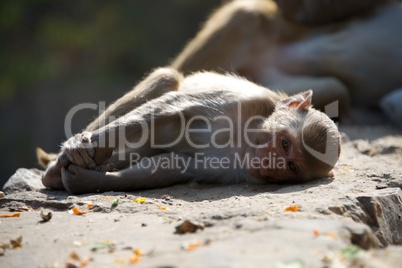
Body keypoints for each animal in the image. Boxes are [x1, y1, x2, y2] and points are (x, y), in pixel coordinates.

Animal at [37, 68, 340, 194]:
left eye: (291, 168)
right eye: (285, 144)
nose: (270, 162)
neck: (244, 140)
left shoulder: (235, 171)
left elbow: (175, 165)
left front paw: (88, 182)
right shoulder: (241, 101)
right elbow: (171, 106)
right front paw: (80, 148)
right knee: (167, 78)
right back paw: (59, 163)